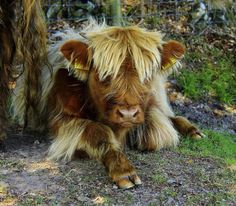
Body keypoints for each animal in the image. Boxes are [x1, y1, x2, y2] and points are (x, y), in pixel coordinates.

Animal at [12, 21, 204, 188]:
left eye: (147, 75)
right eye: (104, 75)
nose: (127, 113)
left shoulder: (149, 110)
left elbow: (155, 131)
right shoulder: (61, 119)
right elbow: (99, 131)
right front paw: (123, 170)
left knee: (171, 116)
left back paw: (194, 131)